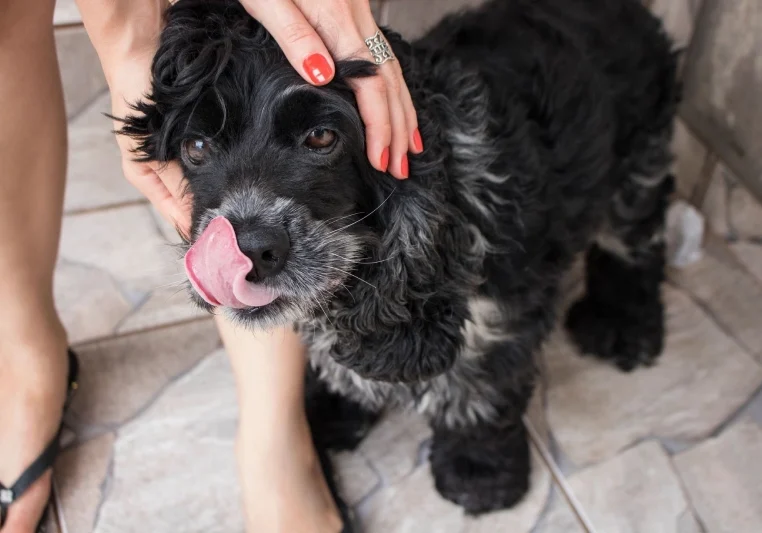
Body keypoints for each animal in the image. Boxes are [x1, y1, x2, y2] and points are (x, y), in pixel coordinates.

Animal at [121, 0, 680, 516]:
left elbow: (482, 387)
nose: (249, 250)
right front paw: (328, 411)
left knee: (637, 242)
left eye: (321, 137)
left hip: (639, 163)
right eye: (195, 147)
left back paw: (621, 326)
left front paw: (479, 471)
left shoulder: (500, 310)